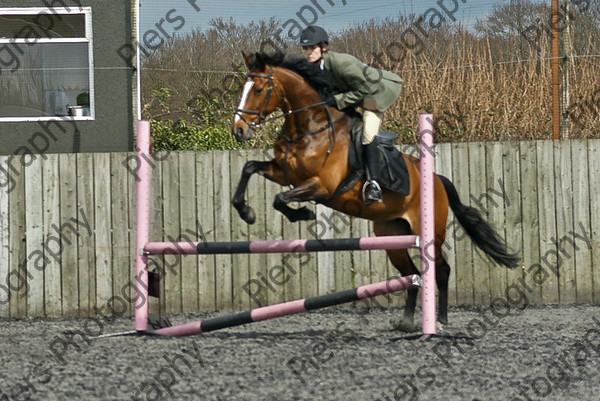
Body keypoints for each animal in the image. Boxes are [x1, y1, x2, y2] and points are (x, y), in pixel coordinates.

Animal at [231, 50, 520, 332]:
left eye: (258, 89)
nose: (239, 131)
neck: (309, 127)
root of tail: (436, 179)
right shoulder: (283, 173)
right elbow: (248, 168)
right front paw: (246, 212)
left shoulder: (322, 186)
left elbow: (279, 198)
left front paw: (301, 214)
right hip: (392, 236)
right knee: (412, 274)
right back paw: (406, 322)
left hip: (431, 234)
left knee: (441, 270)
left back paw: (440, 321)